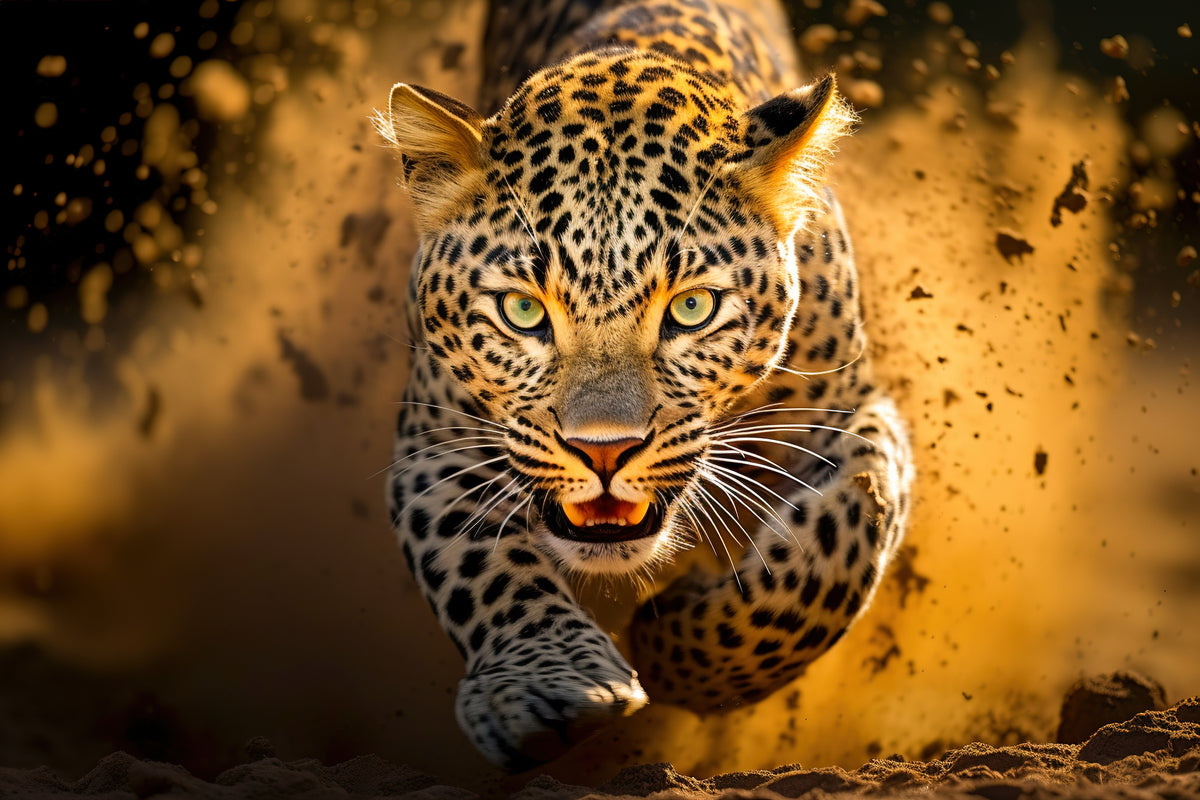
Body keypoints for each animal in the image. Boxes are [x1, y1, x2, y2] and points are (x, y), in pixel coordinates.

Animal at [376, 0, 913, 770]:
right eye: (523, 311)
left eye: (692, 308)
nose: (604, 451)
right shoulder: (436, 439)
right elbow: (479, 566)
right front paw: (543, 689)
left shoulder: (848, 407)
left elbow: (846, 533)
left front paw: (673, 649)